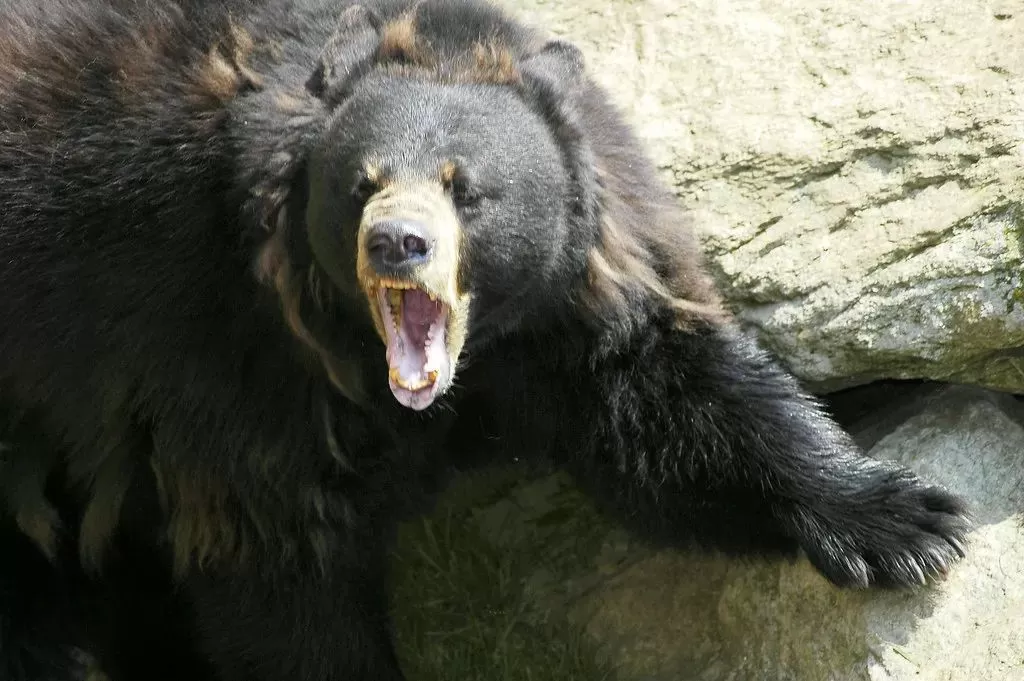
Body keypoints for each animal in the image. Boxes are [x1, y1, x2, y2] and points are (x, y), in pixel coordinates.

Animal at [0, 0, 972, 679]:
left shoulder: (574, 300)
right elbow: (276, 551)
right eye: (361, 183)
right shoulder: (221, 334)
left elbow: (668, 405)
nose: (398, 242)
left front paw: (910, 521)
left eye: (464, 187)